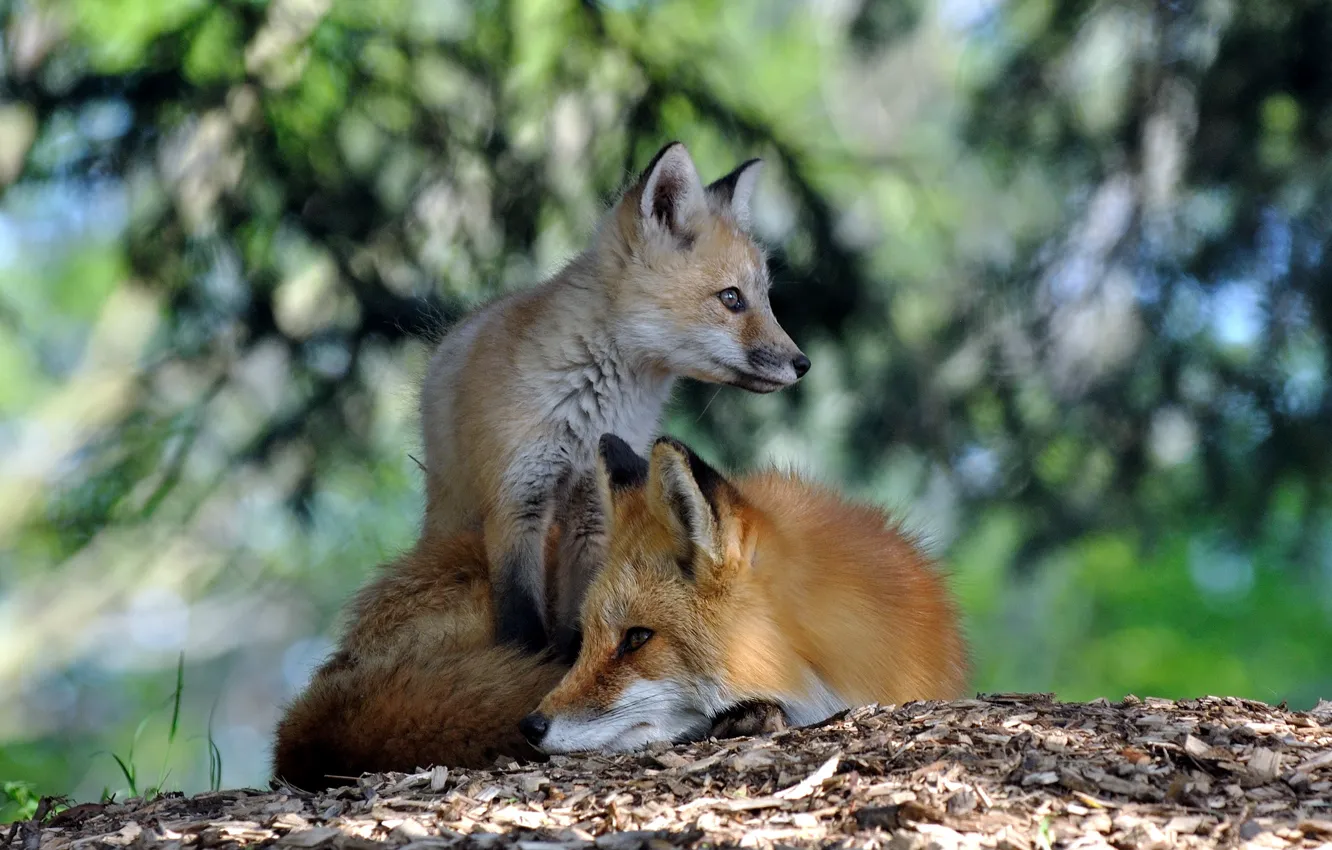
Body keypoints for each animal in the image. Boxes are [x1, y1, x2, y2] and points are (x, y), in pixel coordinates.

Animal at [419, 141, 810, 659]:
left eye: (764, 299)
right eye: (731, 298)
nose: (802, 364)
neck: (593, 405)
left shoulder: (592, 509)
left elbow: (581, 615)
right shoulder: (516, 503)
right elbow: (521, 628)